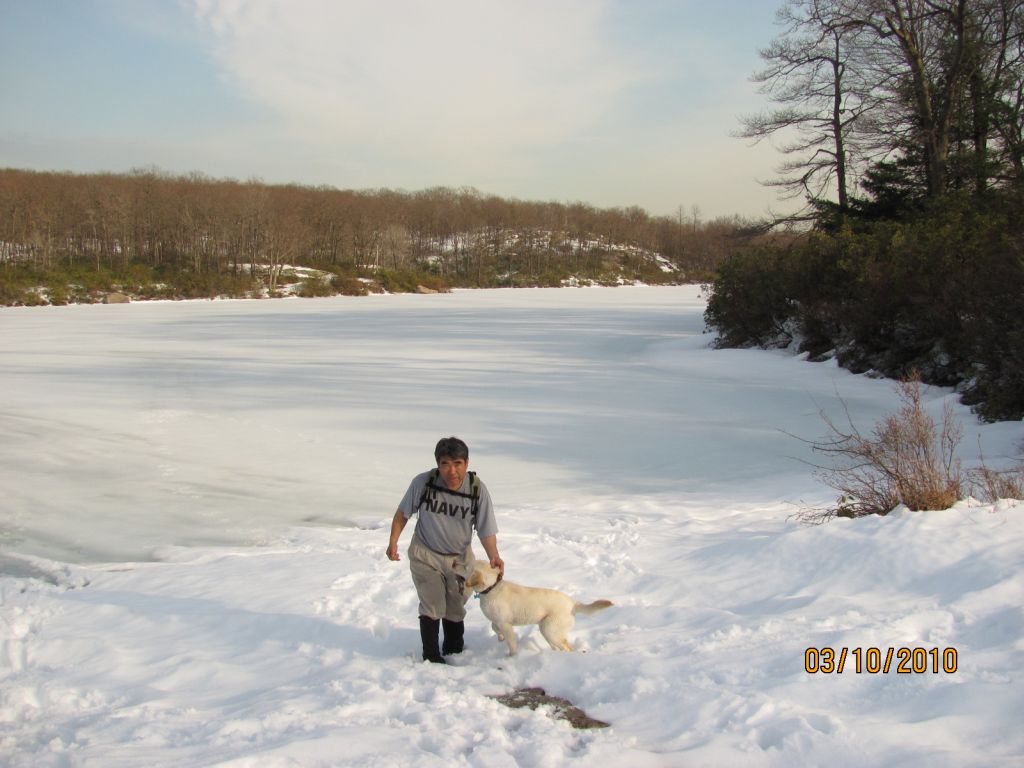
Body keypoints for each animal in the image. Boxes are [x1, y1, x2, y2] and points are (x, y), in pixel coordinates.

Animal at [462, 561, 606, 655]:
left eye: (467, 567)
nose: (458, 562)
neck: (491, 588)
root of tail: (573, 603)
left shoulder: (505, 624)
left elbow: (511, 644)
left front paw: (512, 657)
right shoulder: (499, 620)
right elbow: (493, 627)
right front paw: (500, 637)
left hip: (549, 629)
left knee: (567, 648)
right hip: (547, 630)